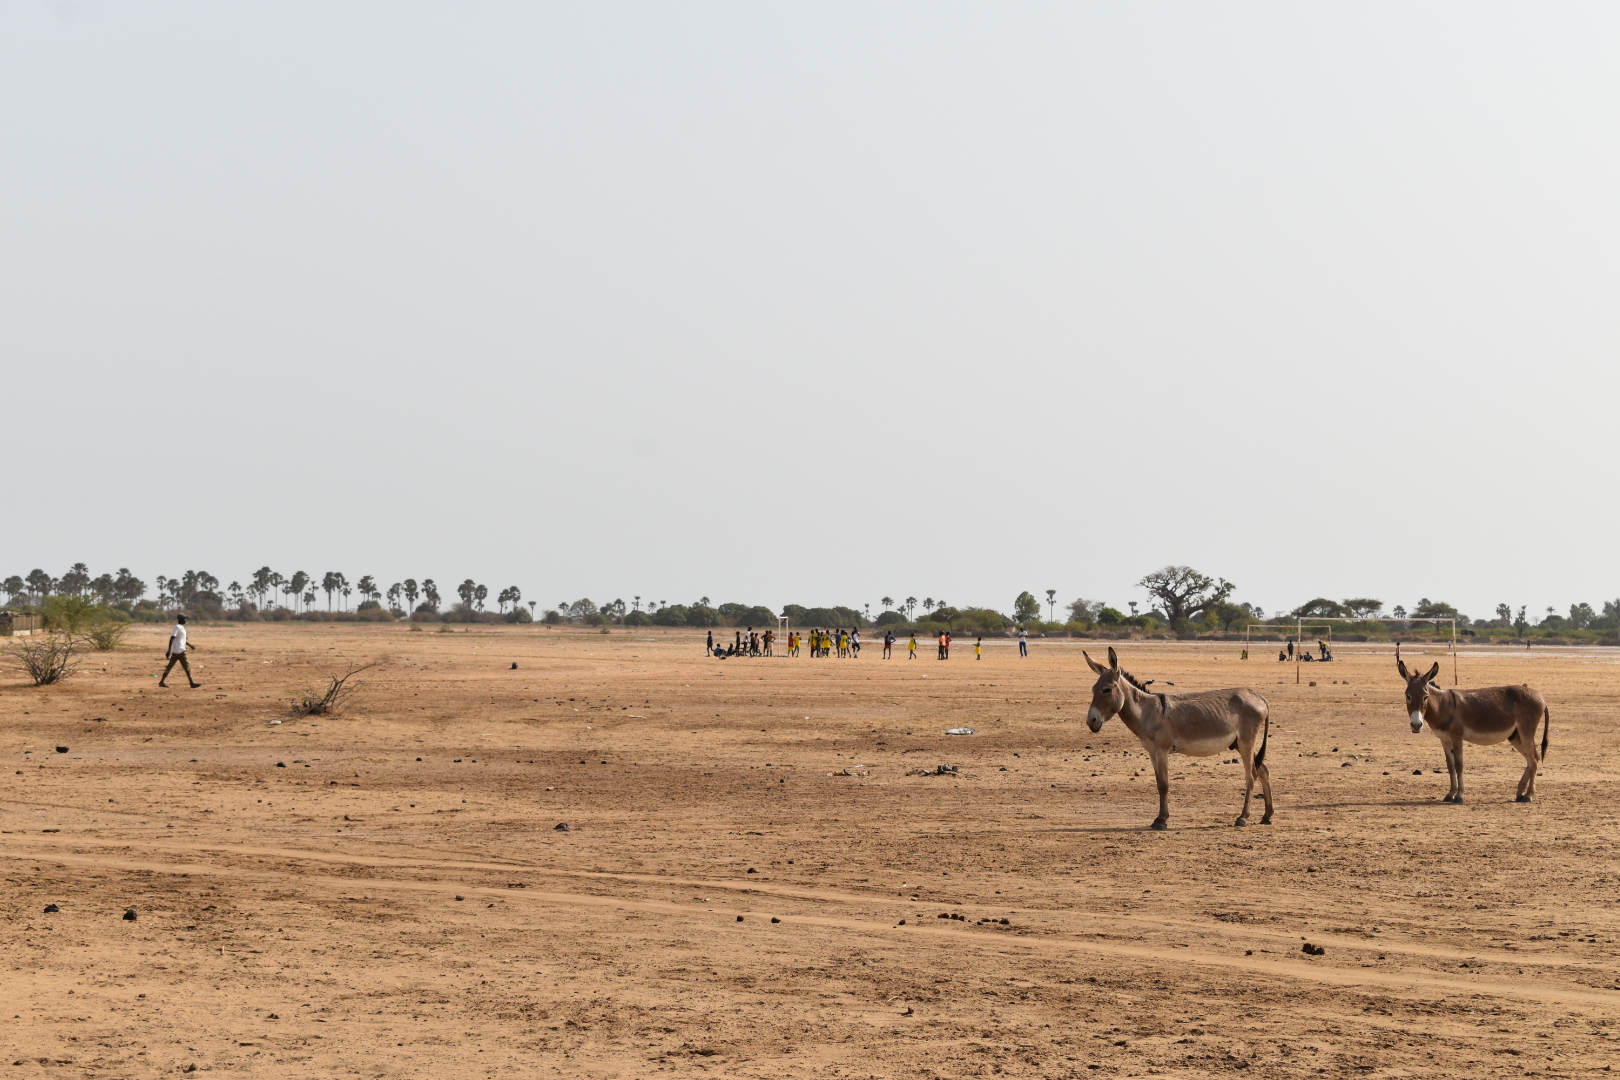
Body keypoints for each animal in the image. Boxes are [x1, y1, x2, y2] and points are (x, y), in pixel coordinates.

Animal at [1084, 647, 1273, 829]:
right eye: (1093, 690)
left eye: (1107, 690)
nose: (1091, 721)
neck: (1147, 711)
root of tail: (1259, 697)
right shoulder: (1152, 752)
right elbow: (1158, 783)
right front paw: (1158, 818)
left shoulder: (1162, 750)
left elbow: (1164, 785)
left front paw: (1162, 820)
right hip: (1239, 743)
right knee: (1263, 770)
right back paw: (1267, 816)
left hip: (1246, 741)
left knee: (1251, 775)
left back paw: (1242, 818)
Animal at [1398, 660, 1548, 803]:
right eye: (1408, 696)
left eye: (1425, 696)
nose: (1416, 725)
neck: (1443, 706)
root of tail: (1541, 696)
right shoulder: (1444, 739)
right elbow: (1450, 766)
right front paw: (1450, 794)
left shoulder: (1457, 737)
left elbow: (1459, 765)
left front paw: (1459, 796)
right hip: (1515, 736)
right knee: (1531, 758)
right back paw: (1520, 793)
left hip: (1526, 731)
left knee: (1534, 759)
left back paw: (1528, 795)